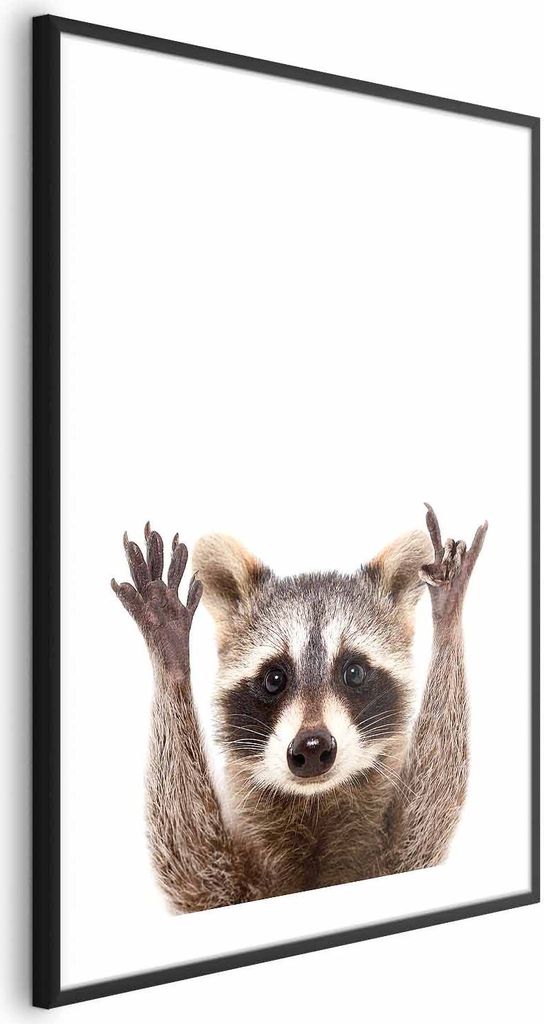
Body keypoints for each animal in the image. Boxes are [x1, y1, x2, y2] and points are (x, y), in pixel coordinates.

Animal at [112, 505, 487, 912]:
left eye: (353, 672)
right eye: (274, 678)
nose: (312, 747)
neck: (315, 805)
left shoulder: (400, 859)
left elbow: (432, 805)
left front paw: (448, 616)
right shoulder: (220, 886)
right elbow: (188, 855)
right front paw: (170, 656)